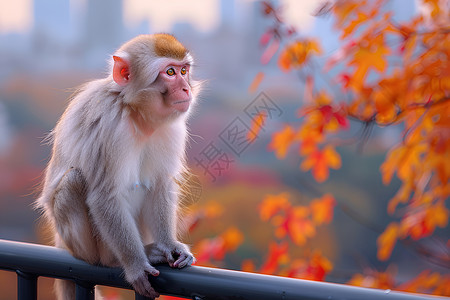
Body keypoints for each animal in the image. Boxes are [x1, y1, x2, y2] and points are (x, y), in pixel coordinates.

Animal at [37, 34, 200, 298]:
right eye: (170, 72)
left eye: (184, 71)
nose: (186, 88)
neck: (135, 112)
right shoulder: (108, 125)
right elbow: (104, 195)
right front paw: (136, 265)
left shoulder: (171, 130)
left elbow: (159, 185)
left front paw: (171, 244)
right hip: (82, 245)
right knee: (74, 180)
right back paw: (118, 258)